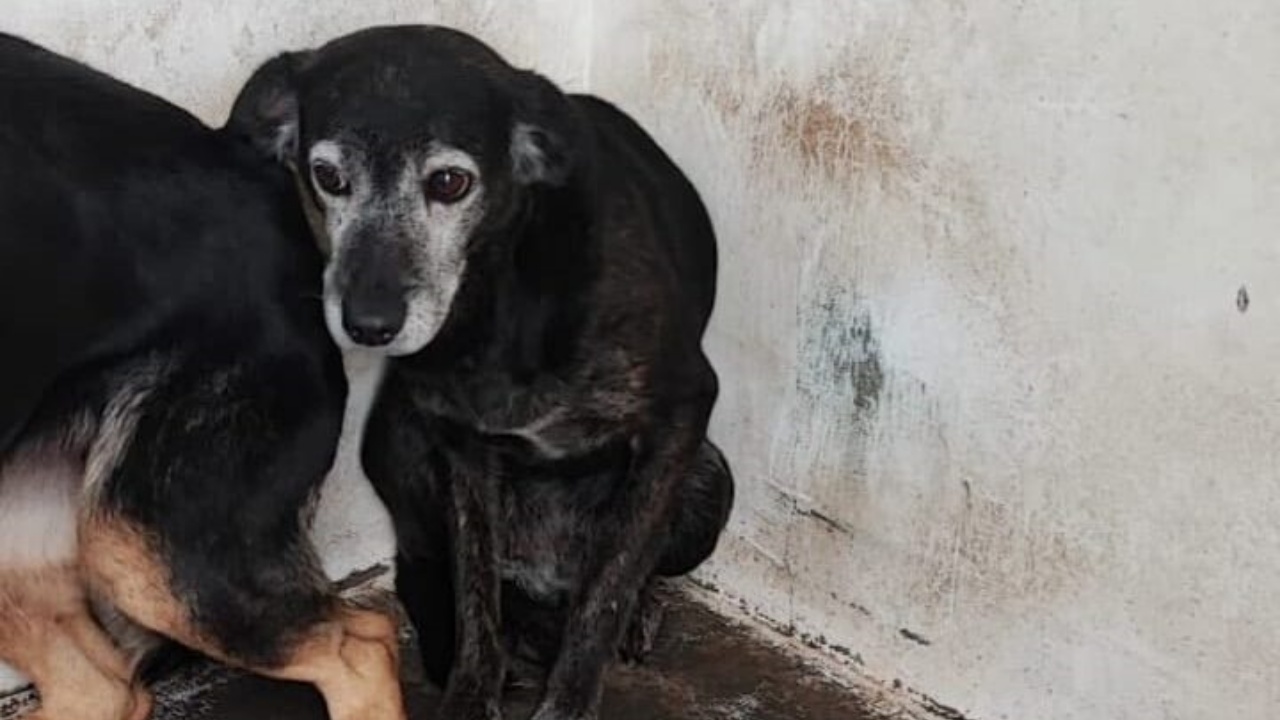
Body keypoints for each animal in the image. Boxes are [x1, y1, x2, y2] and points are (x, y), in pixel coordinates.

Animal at [226, 25, 737, 712]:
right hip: (402, 439)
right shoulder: (461, 445)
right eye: (327, 176)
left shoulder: (681, 415)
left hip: (710, 478)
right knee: (434, 566)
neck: (497, 302)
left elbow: (608, 588)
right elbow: (474, 591)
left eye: (449, 183)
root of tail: (542, 575)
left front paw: (570, 700)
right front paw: (472, 689)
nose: (368, 325)